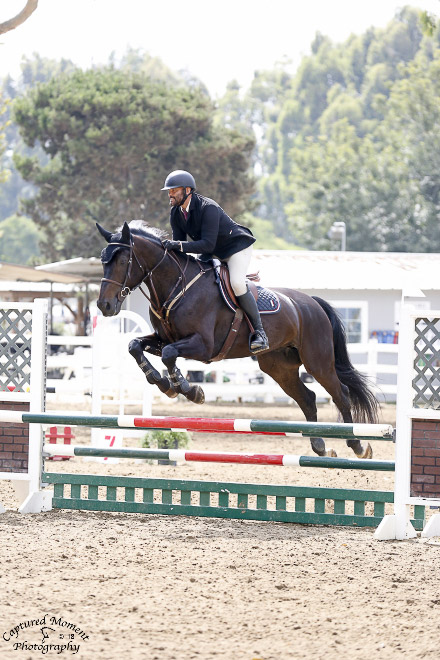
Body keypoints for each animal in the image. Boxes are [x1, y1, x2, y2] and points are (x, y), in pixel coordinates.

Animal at [96, 219, 378, 456]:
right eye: (103, 261)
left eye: (123, 261)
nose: (104, 306)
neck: (177, 285)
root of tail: (312, 303)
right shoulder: (163, 338)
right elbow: (135, 346)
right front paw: (163, 383)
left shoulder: (203, 346)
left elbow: (169, 355)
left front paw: (189, 390)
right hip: (278, 366)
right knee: (307, 398)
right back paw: (319, 445)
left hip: (317, 361)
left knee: (341, 394)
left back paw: (357, 445)